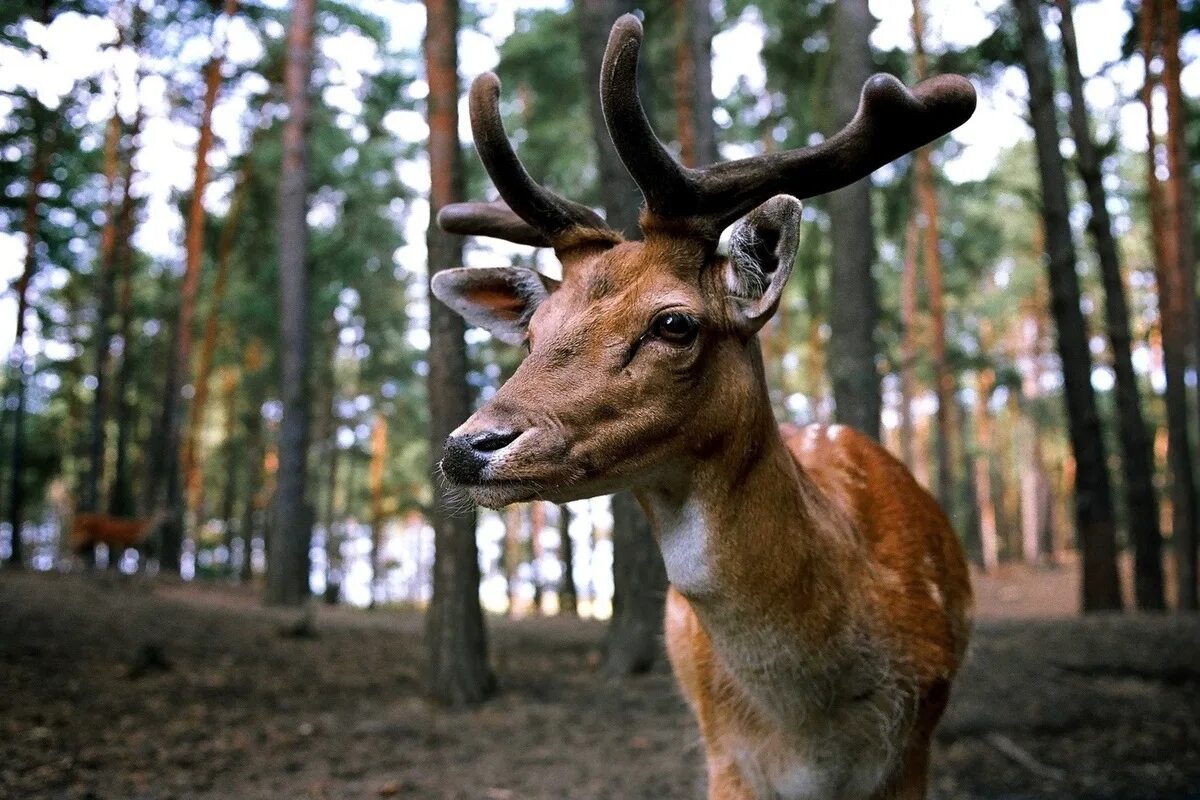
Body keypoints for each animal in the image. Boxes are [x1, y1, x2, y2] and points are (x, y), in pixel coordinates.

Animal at [432, 14, 974, 800]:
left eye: (674, 322)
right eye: (533, 333)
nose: (467, 446)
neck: (813, 732)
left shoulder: (915, 748)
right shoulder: (725, 759)